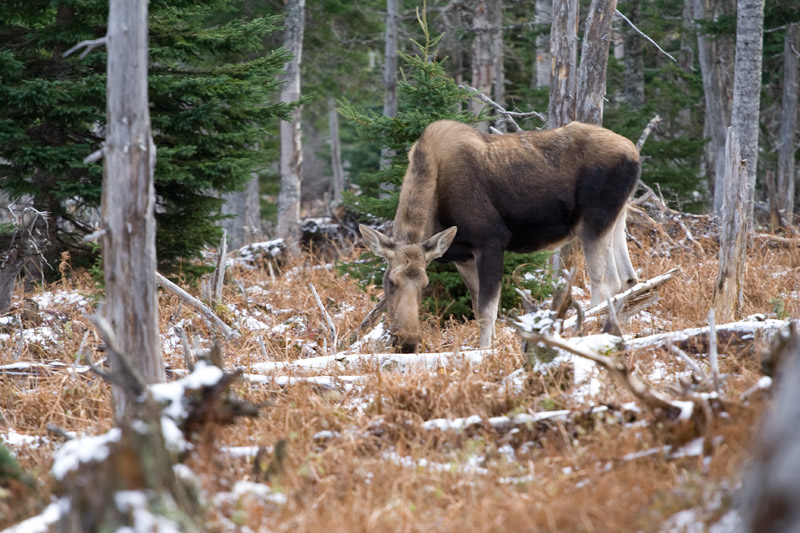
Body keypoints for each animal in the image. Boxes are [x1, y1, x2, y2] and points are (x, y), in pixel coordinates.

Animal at [359, 120, 640, 353]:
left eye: (426, 285)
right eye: (390, 283)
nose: (407, 342)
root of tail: (635, 155)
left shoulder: (491, 241)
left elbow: (487, 310)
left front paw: (485, 352)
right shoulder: (463, 256)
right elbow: (477, 306)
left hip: (594, 219)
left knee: (603, 283)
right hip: (617, 215)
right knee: (628, 278)